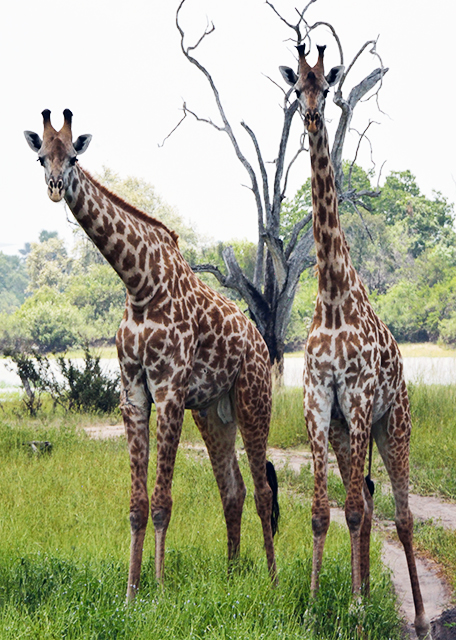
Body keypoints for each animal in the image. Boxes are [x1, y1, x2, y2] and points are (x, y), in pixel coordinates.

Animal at [24, 109, 279, 600]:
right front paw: (130, 592)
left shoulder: (170, 390)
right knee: (233, 489)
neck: (138, 284)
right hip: (214, 412)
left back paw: (274, 583)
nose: (55, 186)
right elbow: (137, 504)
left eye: (74, 156)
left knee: (262, 491)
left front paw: (158, 590)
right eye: (41, 155)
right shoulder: (134, 392)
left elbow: (162, 501)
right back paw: (232, 575)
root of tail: (258, 340)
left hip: (253, 399)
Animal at [280, 47, 431, 639]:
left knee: (400, 513)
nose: (311, 115)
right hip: (350, 431)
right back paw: (363, 592)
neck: (331, 293)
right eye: (296, 87)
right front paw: (320, 603)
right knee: (363, 500)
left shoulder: (361, 398)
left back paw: (415, 615)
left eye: (326, 86)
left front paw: (355, 611)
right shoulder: (319, 401)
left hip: (394, 423)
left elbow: (353, 510)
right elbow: (325, 511)